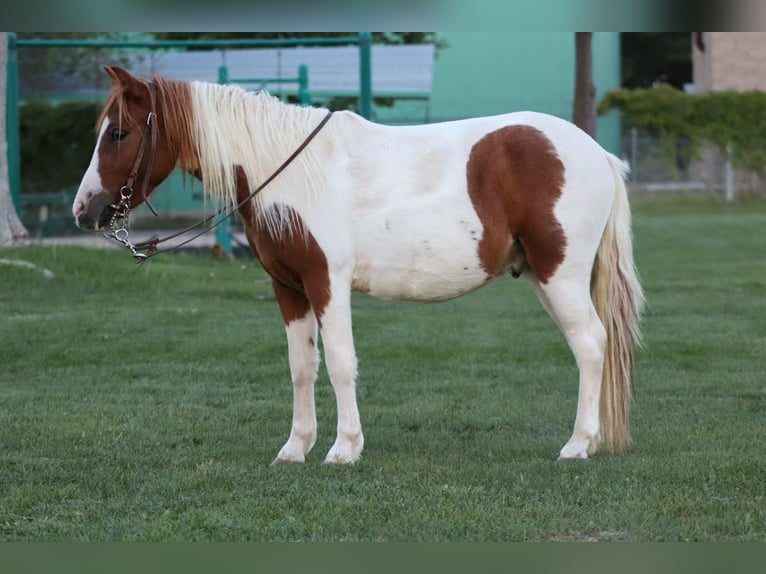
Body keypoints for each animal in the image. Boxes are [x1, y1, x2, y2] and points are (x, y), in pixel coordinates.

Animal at [73, 66, 644, 463]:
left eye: (119, 133)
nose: (85, 210)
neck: (291, 170)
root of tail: (596, 153)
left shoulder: (328, 282)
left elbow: (341, 364)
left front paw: (344, 448)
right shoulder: (289, 288)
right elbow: (302, 367)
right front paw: (295, 447)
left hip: (560, 274)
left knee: (590, 344)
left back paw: (578, 445)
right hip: (546, 278)